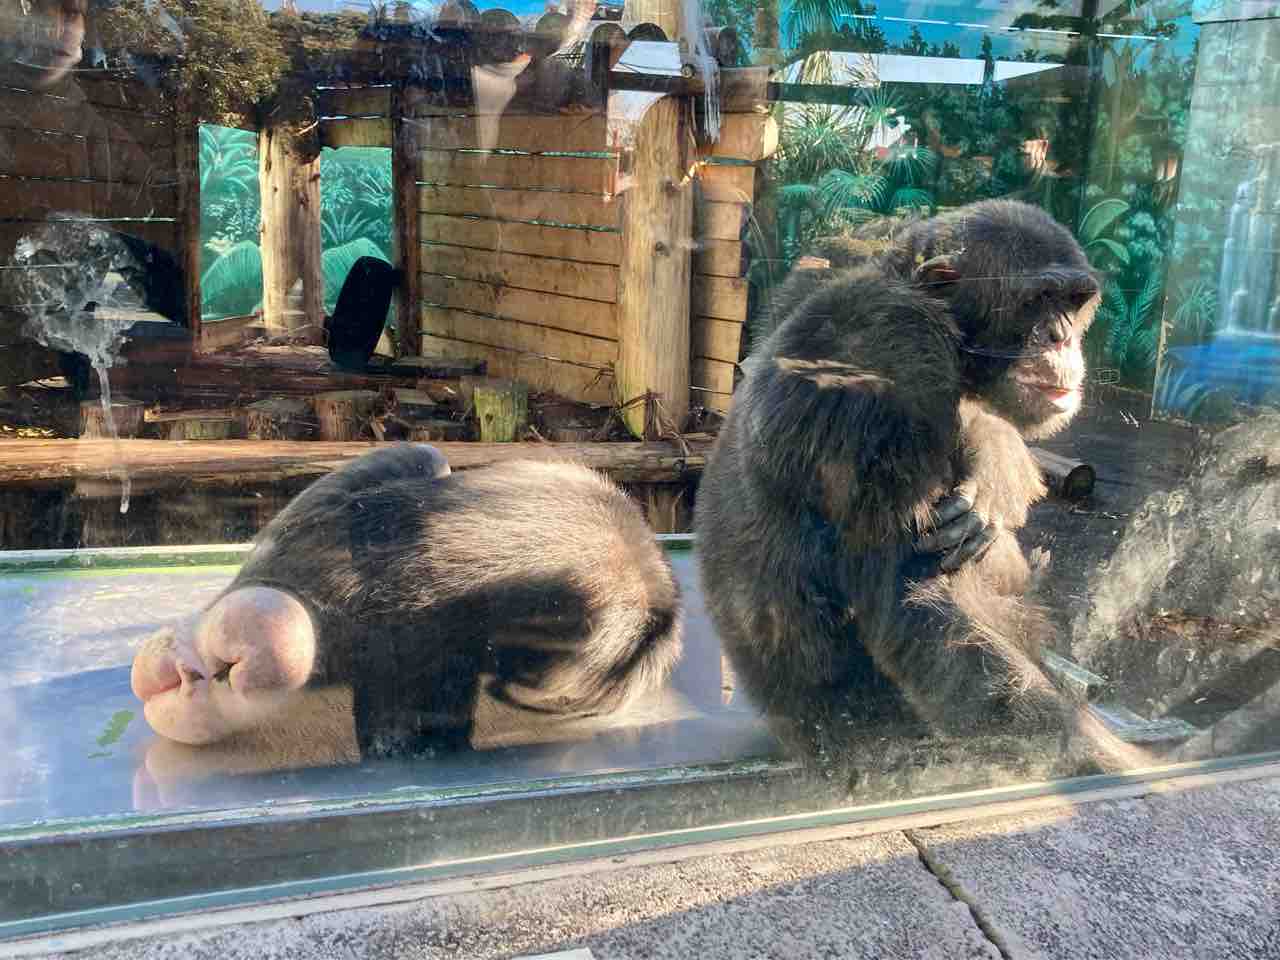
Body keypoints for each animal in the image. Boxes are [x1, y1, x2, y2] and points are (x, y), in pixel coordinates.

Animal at [695, 198, 1151, 776]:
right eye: (1036, 300)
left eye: (1073, 299)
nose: (1061, 335)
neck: (949, 332)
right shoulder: (889, 362)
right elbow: (922, 604)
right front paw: (1094, 753)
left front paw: (986, 479)